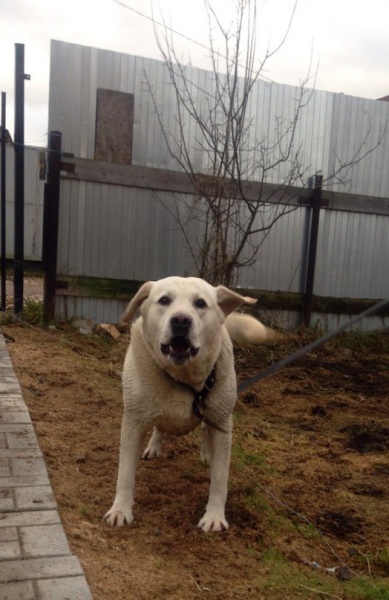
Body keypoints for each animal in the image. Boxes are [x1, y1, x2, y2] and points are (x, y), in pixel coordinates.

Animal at [104, 274, 272, 532]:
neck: (182, 377)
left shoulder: (223, 423)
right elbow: (125, 472)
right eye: (164, 300)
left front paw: (214, 515)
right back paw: (155, 446)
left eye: (200, 303)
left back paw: (206, 454)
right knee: (159, 426)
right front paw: (120, 510)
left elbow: (220, 477)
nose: (181, 320)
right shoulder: (132, 421)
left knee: (203, 430)